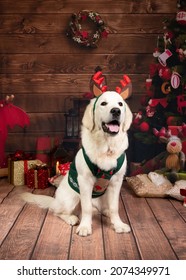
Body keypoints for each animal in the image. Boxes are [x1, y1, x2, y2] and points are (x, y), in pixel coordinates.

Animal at [22, 88, 132, 236]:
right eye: (103, 103)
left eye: (120, 104)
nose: (116, 111)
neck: (106, 147)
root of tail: (55, 201)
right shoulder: (85, 182)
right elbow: (86, 207)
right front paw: (85, 227)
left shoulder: (116, 182)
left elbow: (115, 207)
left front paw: (118, 224)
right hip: (71, 198)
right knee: (57, 212)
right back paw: (72, 218)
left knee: (102, 208)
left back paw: (105, 212)